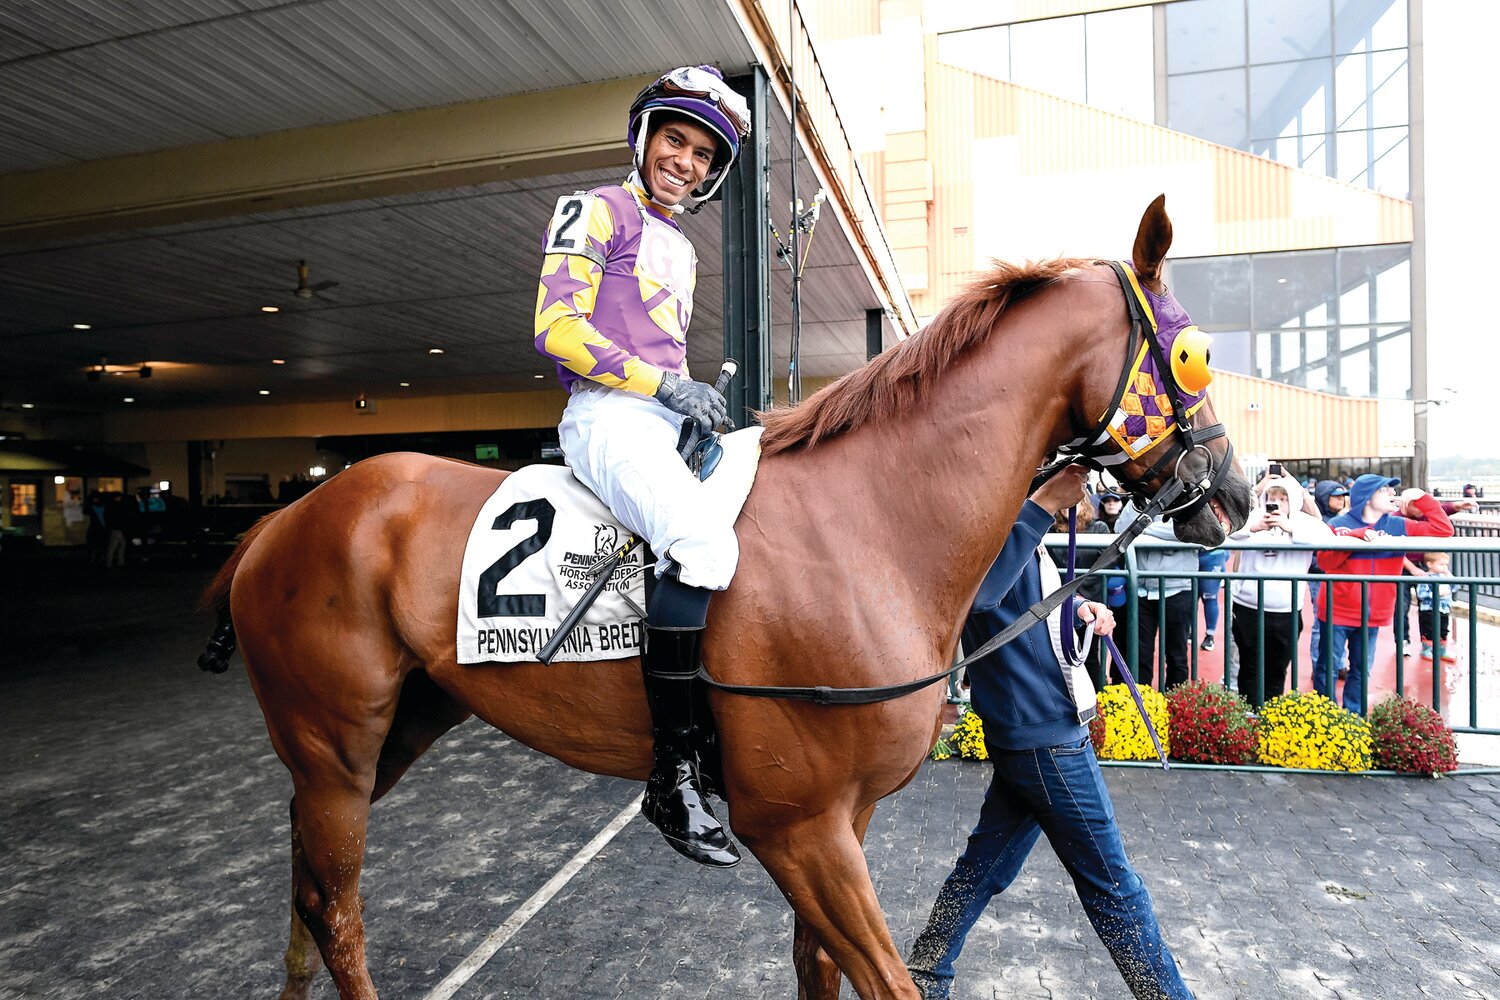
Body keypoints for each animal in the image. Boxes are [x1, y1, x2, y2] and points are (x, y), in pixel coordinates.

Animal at [202, 197, 1254, 1000]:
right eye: (1195, 355)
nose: (1237, 495)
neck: (868, 521)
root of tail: (280, 521)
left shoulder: (845, 821)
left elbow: (818, 973)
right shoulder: (797, 827)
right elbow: (884, 981)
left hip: (395, 729)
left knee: (306, 882)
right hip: (336, 747)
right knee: (336, 909)